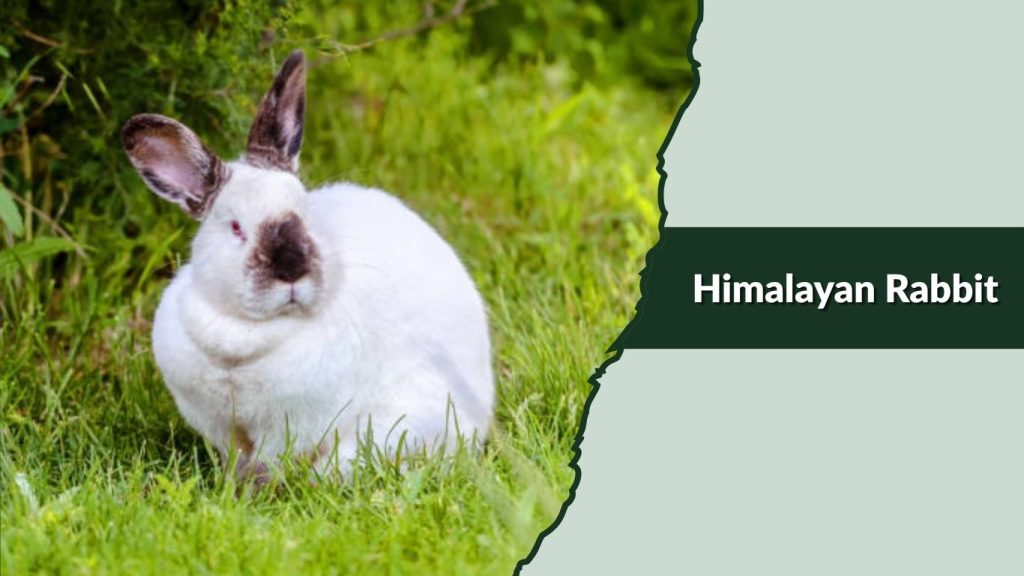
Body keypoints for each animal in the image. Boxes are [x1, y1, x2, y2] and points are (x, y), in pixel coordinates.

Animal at [121, 50, 494, 479]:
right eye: (236, 227)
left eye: (305, 211)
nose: (291, 268)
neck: (242, 339)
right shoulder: (218, 424)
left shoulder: (292, 426)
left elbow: (270, 463)